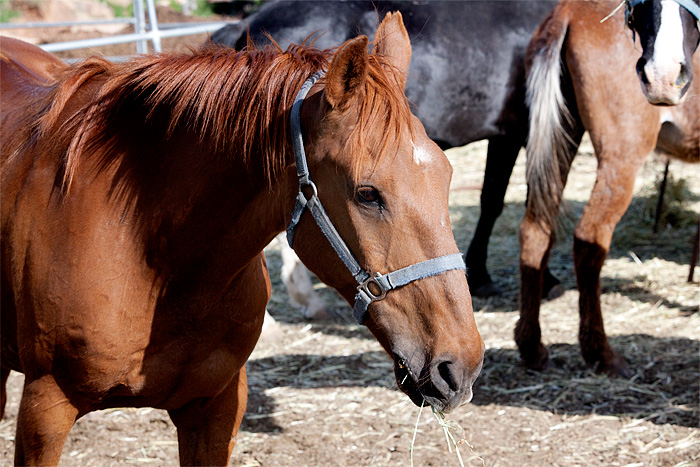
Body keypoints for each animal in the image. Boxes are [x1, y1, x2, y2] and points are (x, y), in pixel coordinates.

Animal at [0, 11, 484, 467]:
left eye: (446, 174)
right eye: (367, 194)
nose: (460, 366)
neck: (153, 256)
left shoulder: (216, 411)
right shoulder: (46, 408)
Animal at [516, 0, 696, 378]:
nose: (663, 74)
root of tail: (569, 11)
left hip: (562, 137)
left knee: (535, 230)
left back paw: (532, 347)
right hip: (620, 159)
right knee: (589, 239)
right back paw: (600, 352)